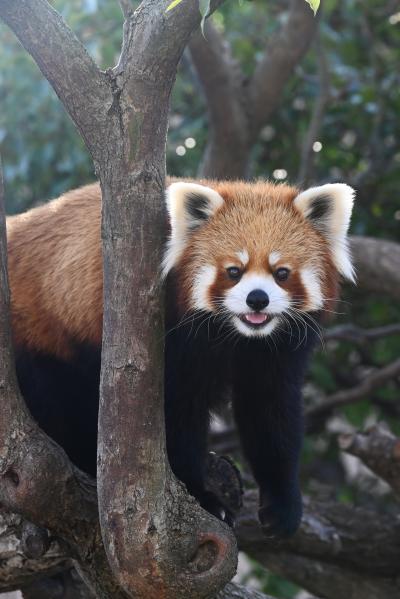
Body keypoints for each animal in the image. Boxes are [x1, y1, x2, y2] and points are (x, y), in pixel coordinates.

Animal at [6, 179, 354, 540]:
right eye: (233, 271)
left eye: (281, 272)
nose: (257, 299)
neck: (234, 335)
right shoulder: (169, 343)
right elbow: (174, 418)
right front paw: (200, 496)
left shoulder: (276, 353)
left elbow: (271, 414)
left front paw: (282, 504)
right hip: (40, 342)